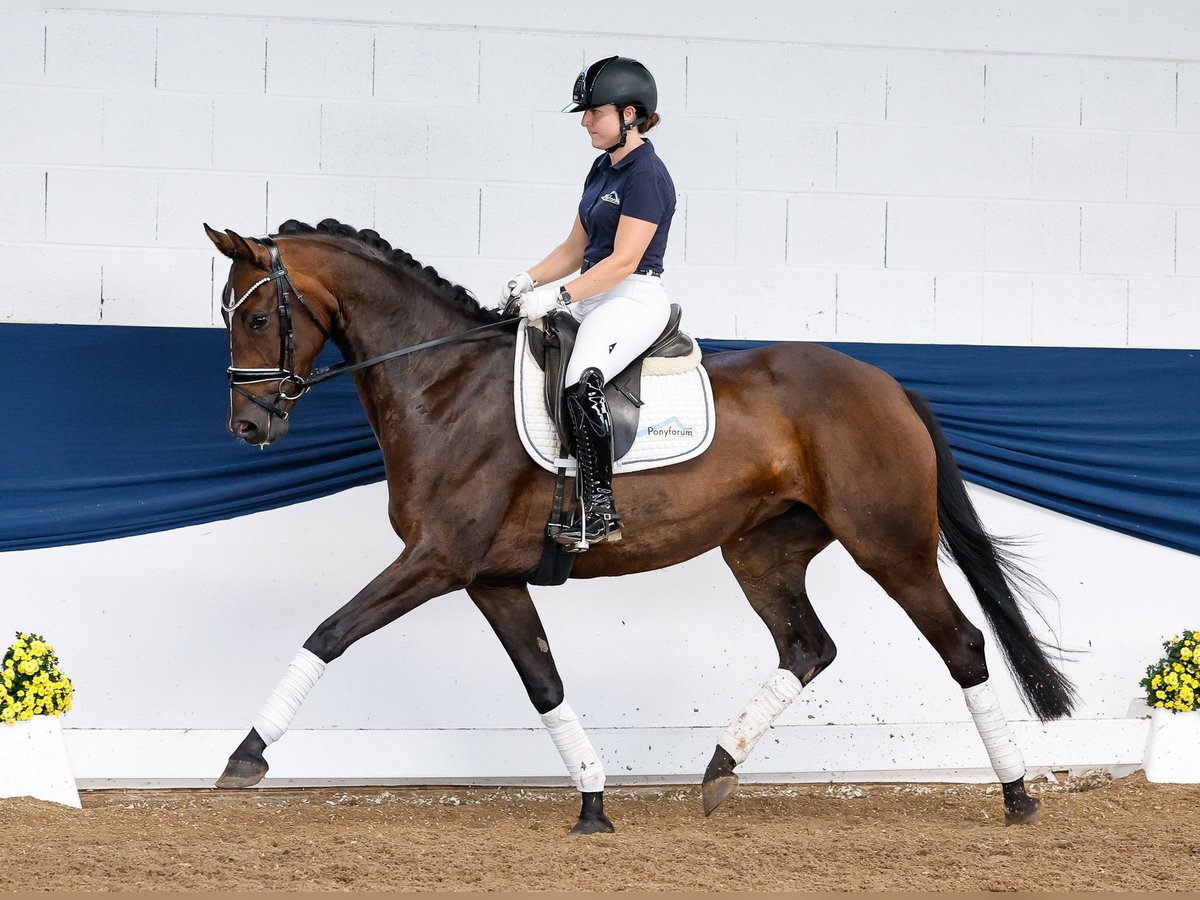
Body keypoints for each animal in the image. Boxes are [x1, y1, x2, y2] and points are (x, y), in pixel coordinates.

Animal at [201, 220, 1075, 840]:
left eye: (257, 315)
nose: (247, 426)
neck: (442, 385)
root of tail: (888, 384)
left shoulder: (437, 559)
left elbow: (329, 631)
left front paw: (245, 755)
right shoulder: (491, 577)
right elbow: (545, 683)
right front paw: (593, 803)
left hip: (889, 545)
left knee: (961, 645)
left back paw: (1017, 795)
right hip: (761, 549)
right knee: (807, 647)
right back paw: (718, 771)